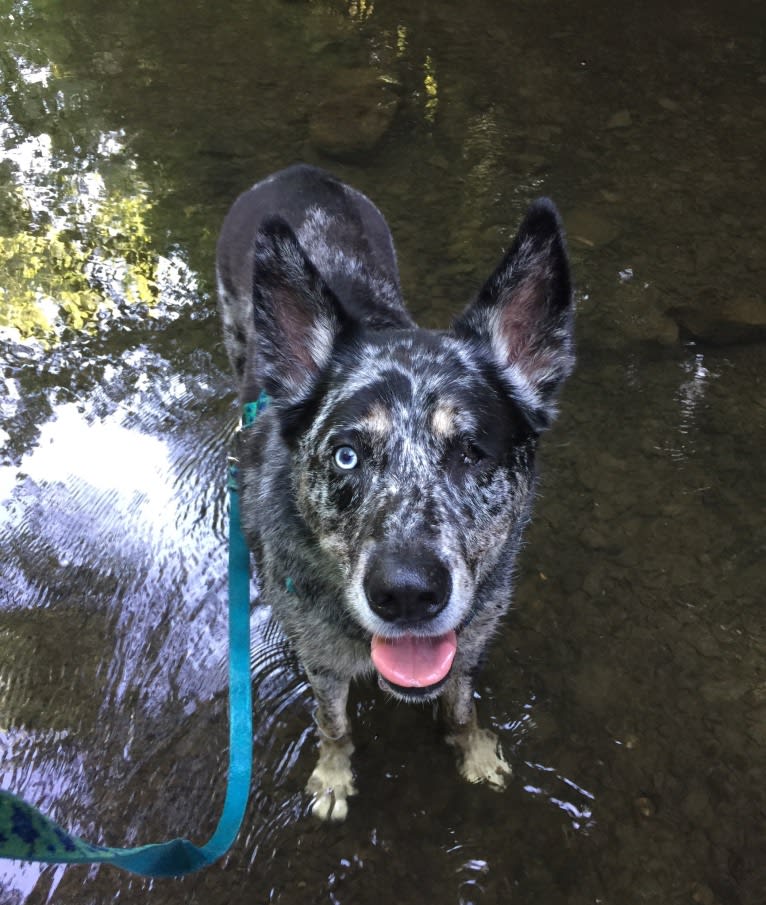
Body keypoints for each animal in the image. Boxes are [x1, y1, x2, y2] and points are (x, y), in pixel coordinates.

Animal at [213, 162, 572, 820]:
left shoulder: (468, 646)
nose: (406, 595)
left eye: (471, 452)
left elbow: (461, 708)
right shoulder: (322, 663)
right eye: (346, 455)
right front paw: (332, 776)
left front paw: (475, 752)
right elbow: (333, 726)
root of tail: (297, 172)